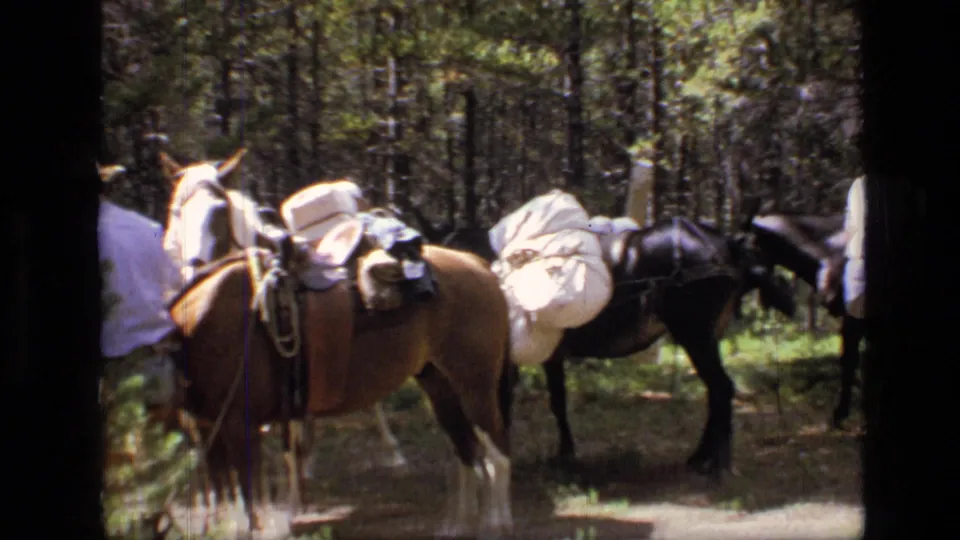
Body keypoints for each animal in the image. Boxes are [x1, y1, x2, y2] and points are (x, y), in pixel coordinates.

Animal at [441, 216, 797, 477]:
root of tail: (727, 247)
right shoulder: (551, 356)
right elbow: (557, 401)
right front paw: (565, 453)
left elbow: (504, 403)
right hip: (704, 337)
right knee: (717, 390)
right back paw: (707, 457)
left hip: (695, 335)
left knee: (721, 388)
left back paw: (712, 461)